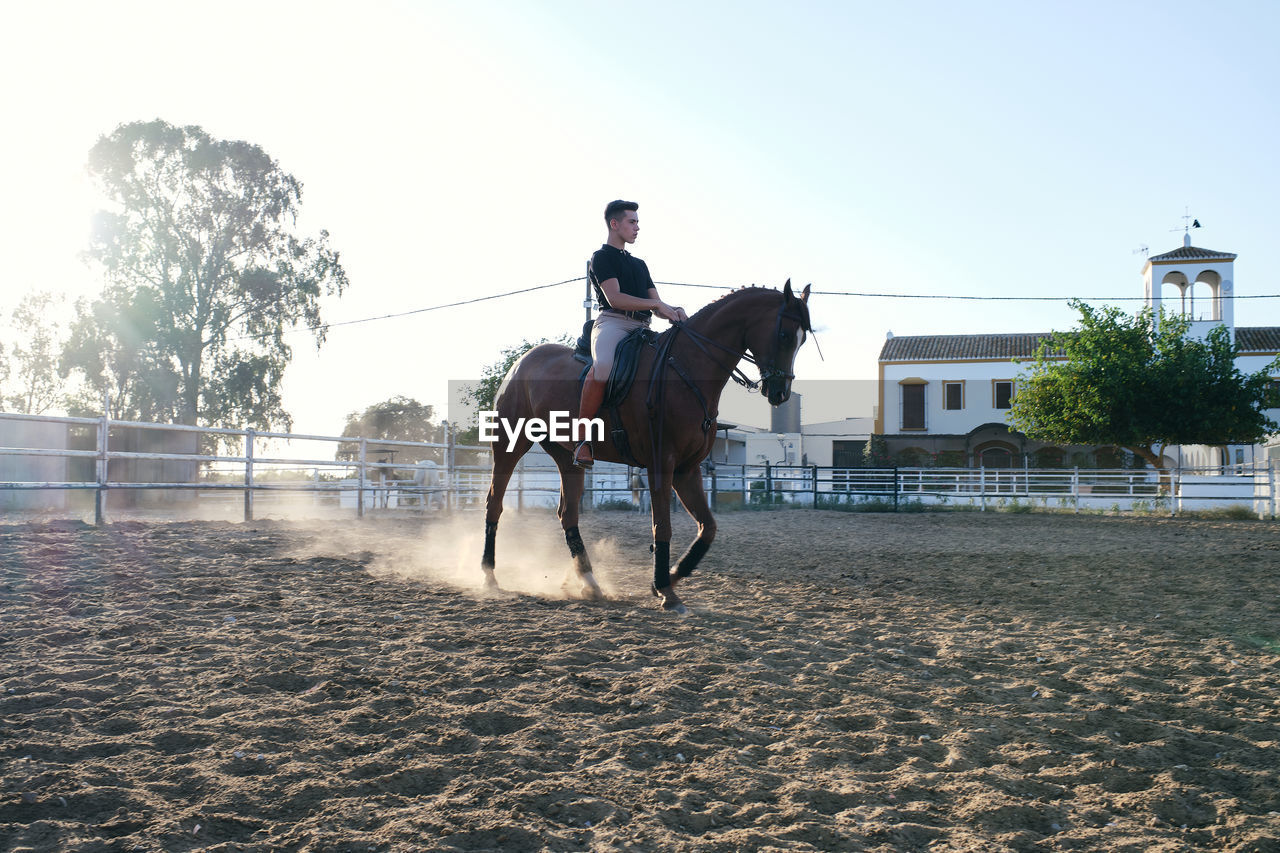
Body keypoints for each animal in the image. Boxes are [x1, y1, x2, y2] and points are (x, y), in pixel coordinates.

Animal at [481, 279, 808, 612]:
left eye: (802, 339)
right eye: (784, 335)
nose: (780, 393)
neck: (686, 367)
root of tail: (522, 363)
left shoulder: (687, 469)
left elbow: (708, 528)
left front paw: (667, 580)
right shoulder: (661, 464)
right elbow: (662, 526)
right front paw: (665, 590)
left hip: (566, 456)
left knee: (567, 513)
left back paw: (589, 582)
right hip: (509, 444)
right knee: (495, 502)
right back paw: (489, 576)